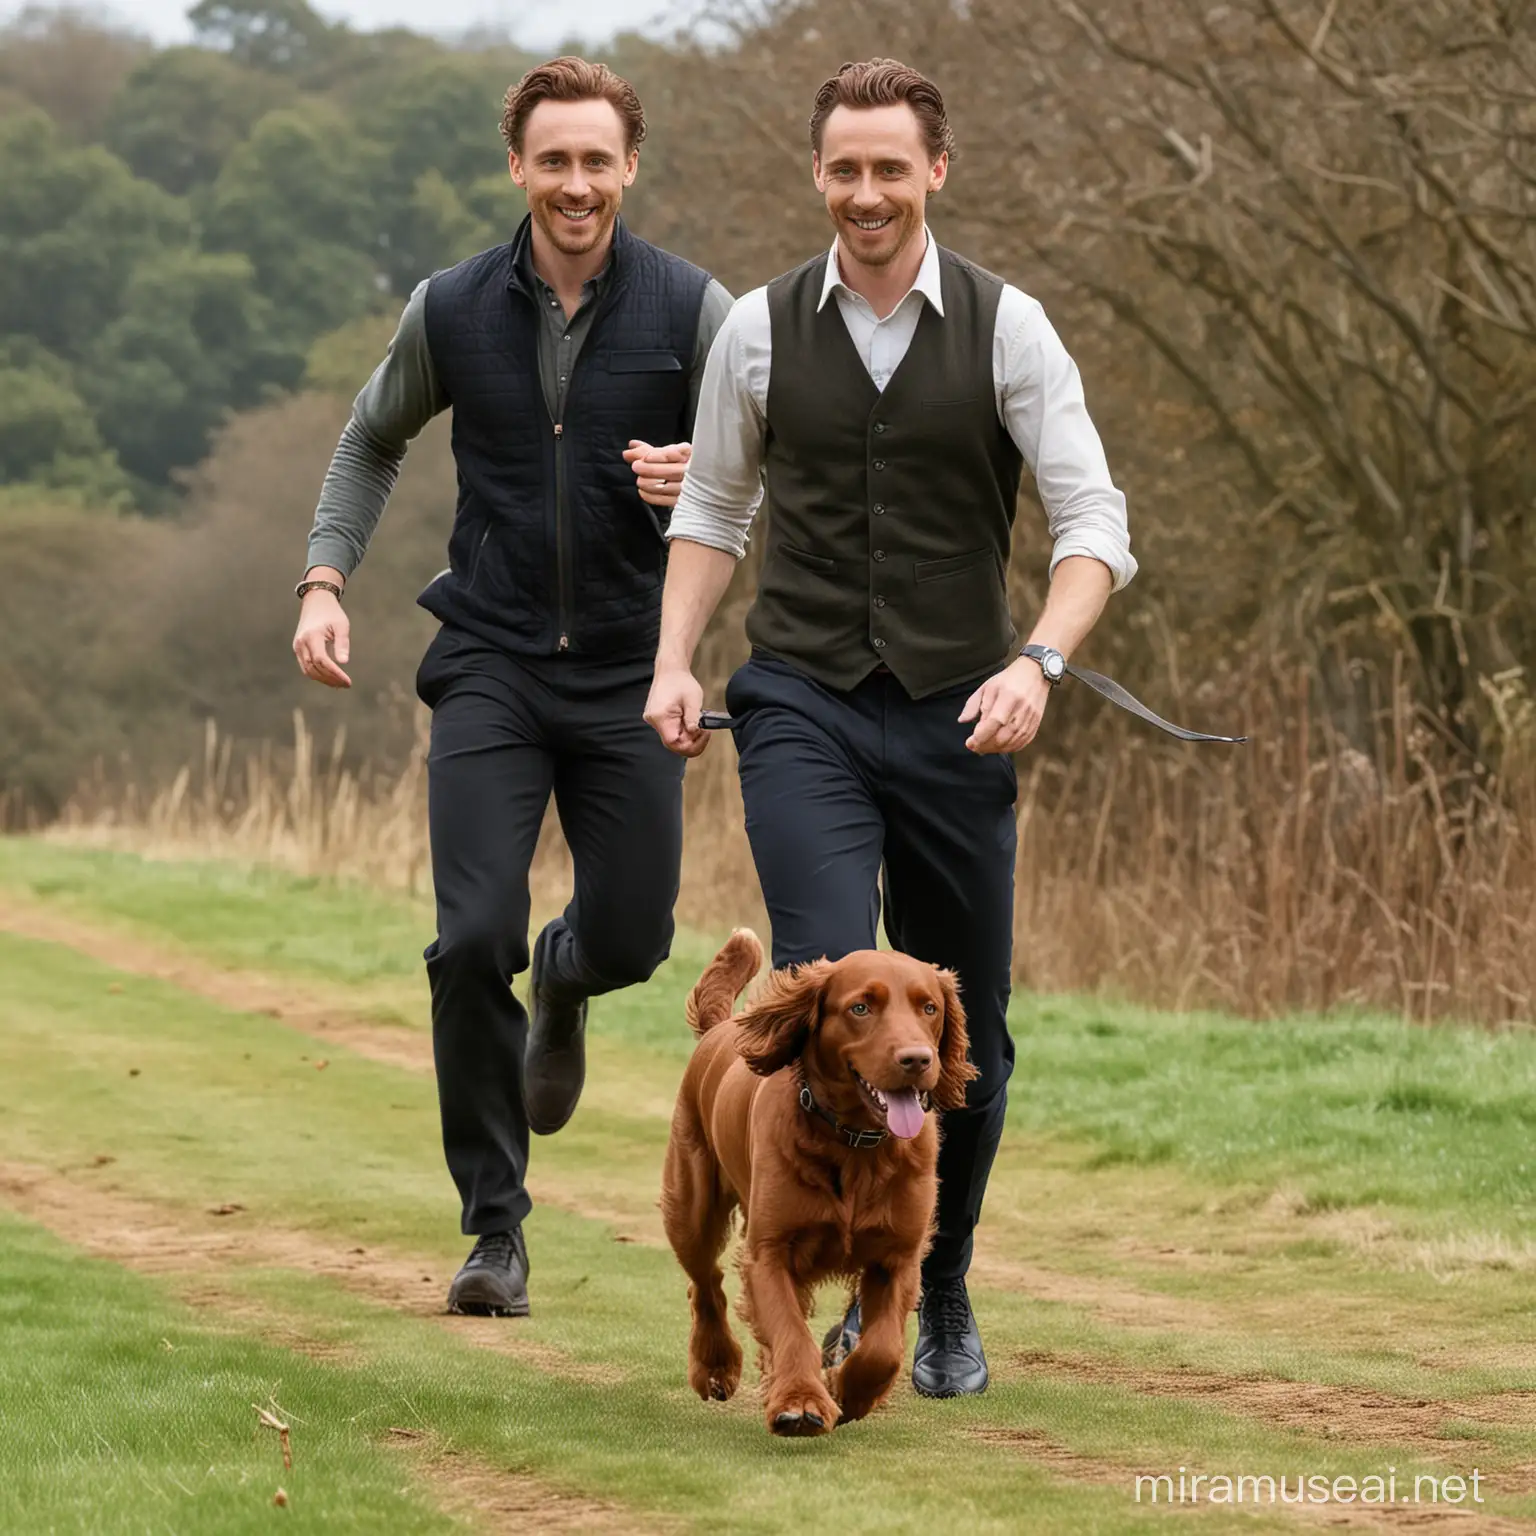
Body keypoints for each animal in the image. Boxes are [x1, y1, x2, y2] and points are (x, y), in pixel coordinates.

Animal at [657, 921, 970, 1437]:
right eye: (861, 1007)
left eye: (929, 1008)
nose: (918, 1060)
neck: (856, 1145)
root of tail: (721, 1028)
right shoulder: (769, 1251)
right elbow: (788, 1329)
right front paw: (800, 1402)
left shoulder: (899, 1256)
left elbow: (883, 1347)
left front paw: (848, 1392)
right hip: (690, 1210)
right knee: (705, 1282)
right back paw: (717, 1366)